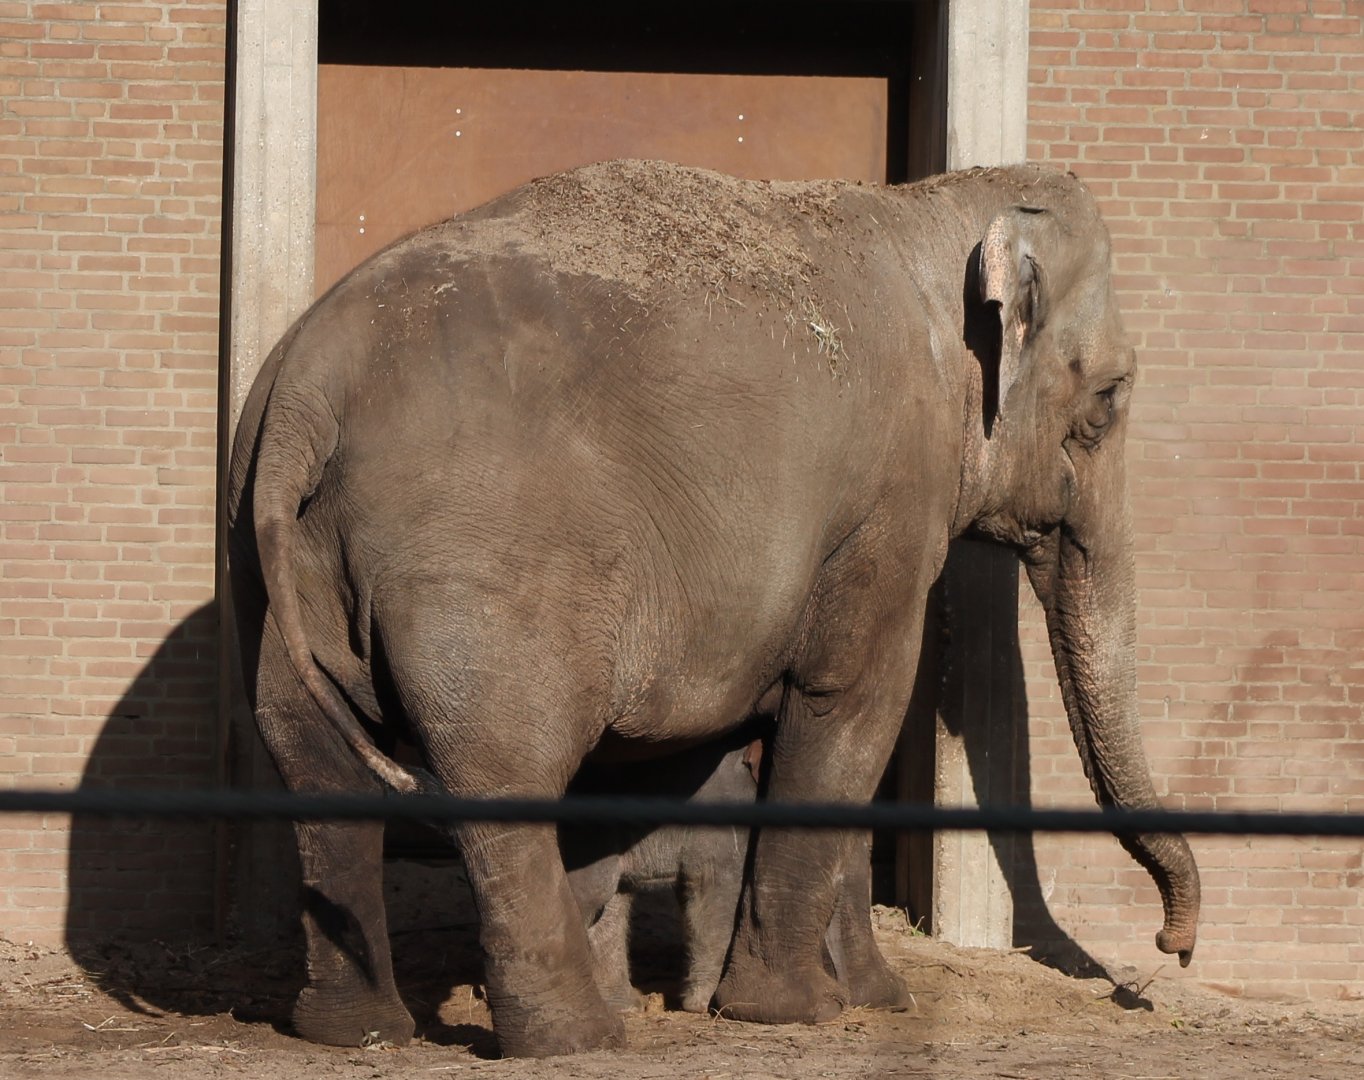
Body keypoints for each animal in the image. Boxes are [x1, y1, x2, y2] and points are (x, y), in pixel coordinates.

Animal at [228, 159, 1201, 1058]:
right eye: (1110, 397)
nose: (1170, 951)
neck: (929, 209)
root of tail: (304, 394)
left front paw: (869, 1001)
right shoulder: (888, 499)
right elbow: (853, 703)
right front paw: (794, 1012)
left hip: (274, 562)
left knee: (315, 765)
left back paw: (355, 1033)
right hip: (485, 565)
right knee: (502, 772)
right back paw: (579, 1037)